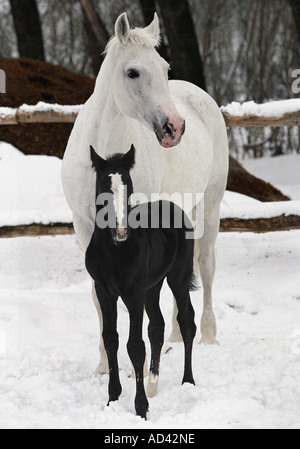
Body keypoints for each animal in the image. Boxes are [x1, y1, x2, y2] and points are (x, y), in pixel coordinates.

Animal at [62, 12, 229, 372]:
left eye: (165, 68)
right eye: (133, 72)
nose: (174, 128)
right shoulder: (84, 226)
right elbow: (99, 293)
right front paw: (104, 363)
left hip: (210, 205)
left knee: (206, 265)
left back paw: (208, 335)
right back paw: (178, 334)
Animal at [85, 144, 197, 420]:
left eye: (128, 187)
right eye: (104, 188)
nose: (121, 231)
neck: (114, 250)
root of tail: (173, 207)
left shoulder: (133, 293)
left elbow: (135, 346)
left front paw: (141, 409)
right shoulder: (105, 291)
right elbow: (111, 339)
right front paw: (112, 398)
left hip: (177, 278)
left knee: (186, 321)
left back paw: (188, 382)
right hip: (152, 287)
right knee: (157, 326)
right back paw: (153, 386)